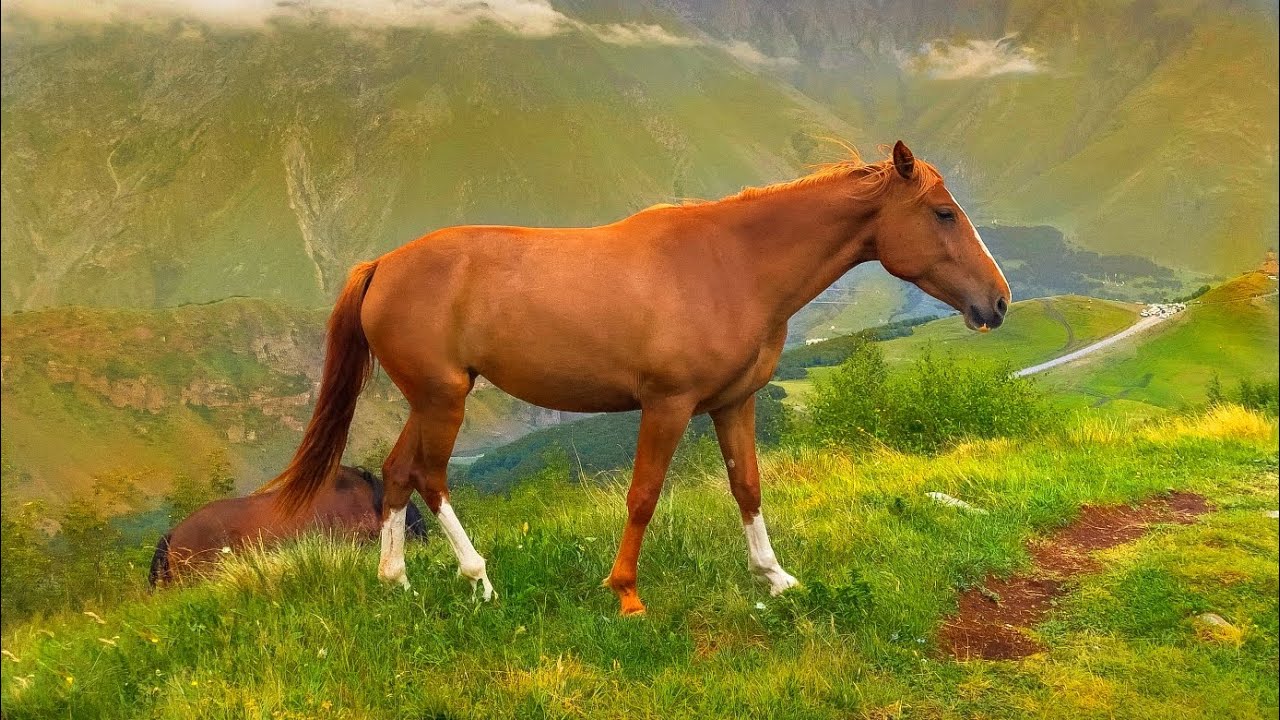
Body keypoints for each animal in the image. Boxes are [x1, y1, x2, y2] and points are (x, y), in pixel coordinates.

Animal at [262, 141, 1010, 615]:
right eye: (943, 213)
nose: (998, 302)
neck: (732, 263)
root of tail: (382, 265)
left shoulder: (734, 404)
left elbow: (748, 488)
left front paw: (775, 577)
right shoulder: (668, 405)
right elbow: (644, 496)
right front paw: (625, 592)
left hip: (428, 399)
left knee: (395, 473)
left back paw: (396, 580)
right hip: (444, 399)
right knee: (431, 477)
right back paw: (479, 581)